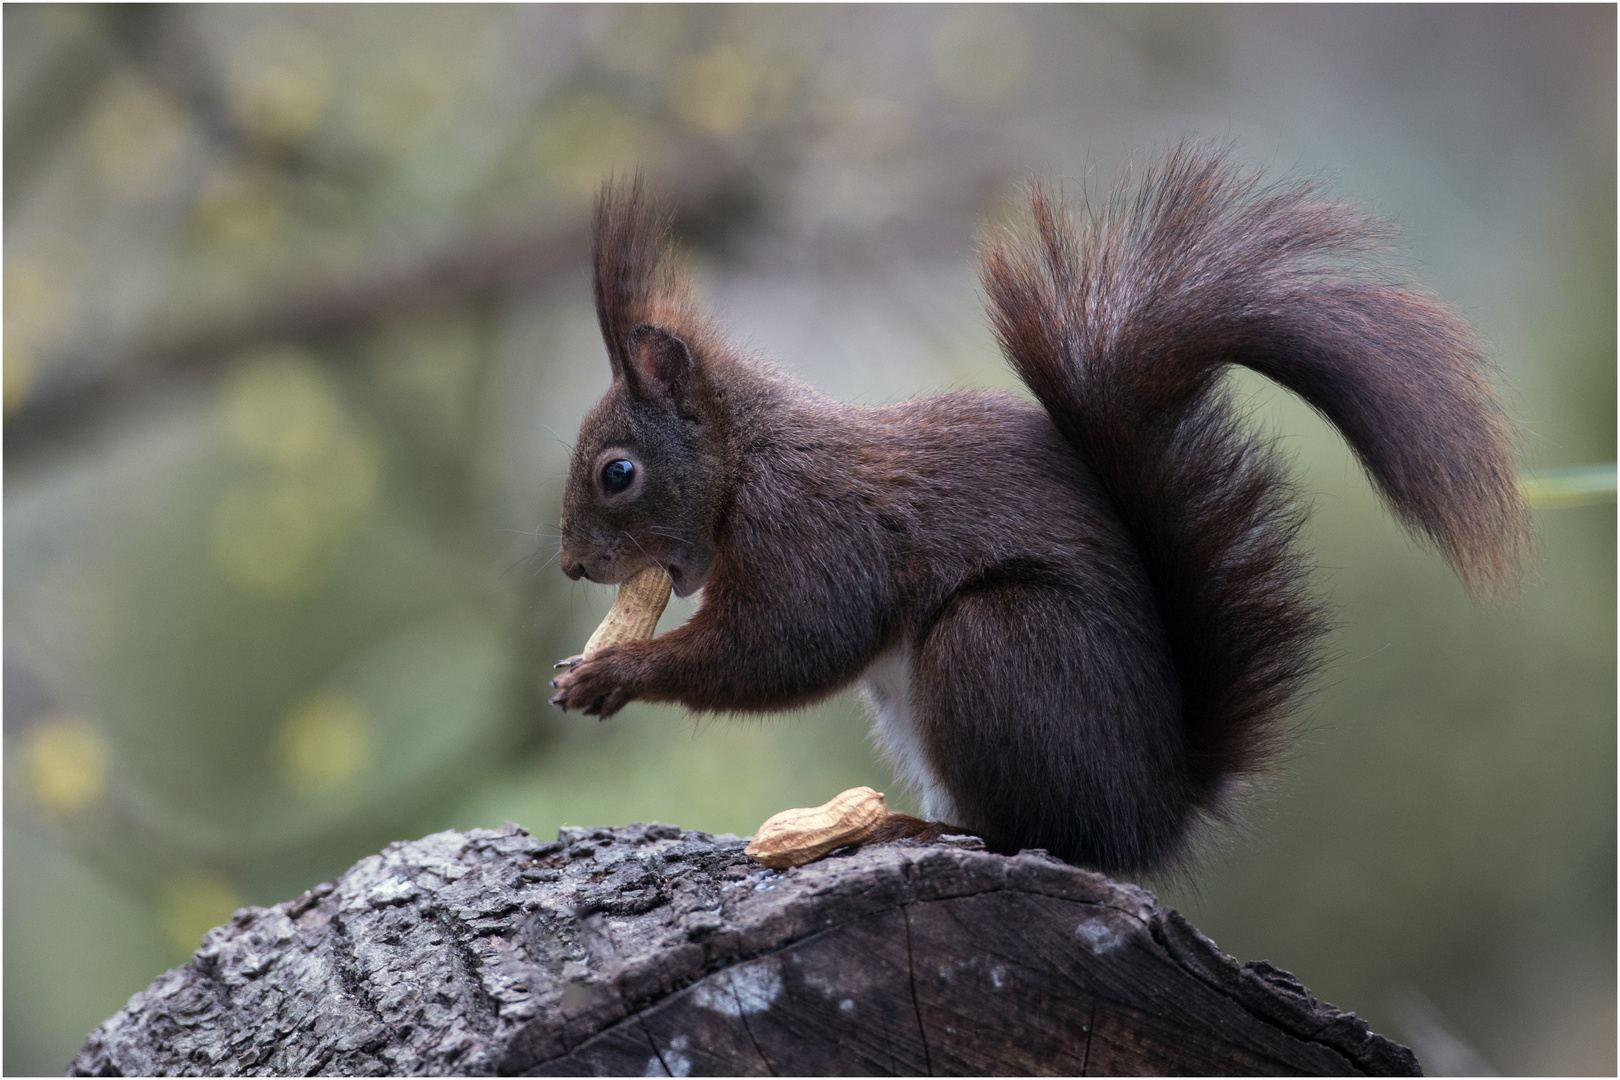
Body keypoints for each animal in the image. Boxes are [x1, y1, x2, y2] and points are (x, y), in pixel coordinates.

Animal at [547, 143, 1529, 874]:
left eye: (617, 473)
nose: (570, 565)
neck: (746, 459)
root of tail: (1155, 808)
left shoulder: (814, 525)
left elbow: (789, 643)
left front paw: (612, 674)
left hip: (1001, 643)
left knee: (1037, 833)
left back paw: (924, 830)